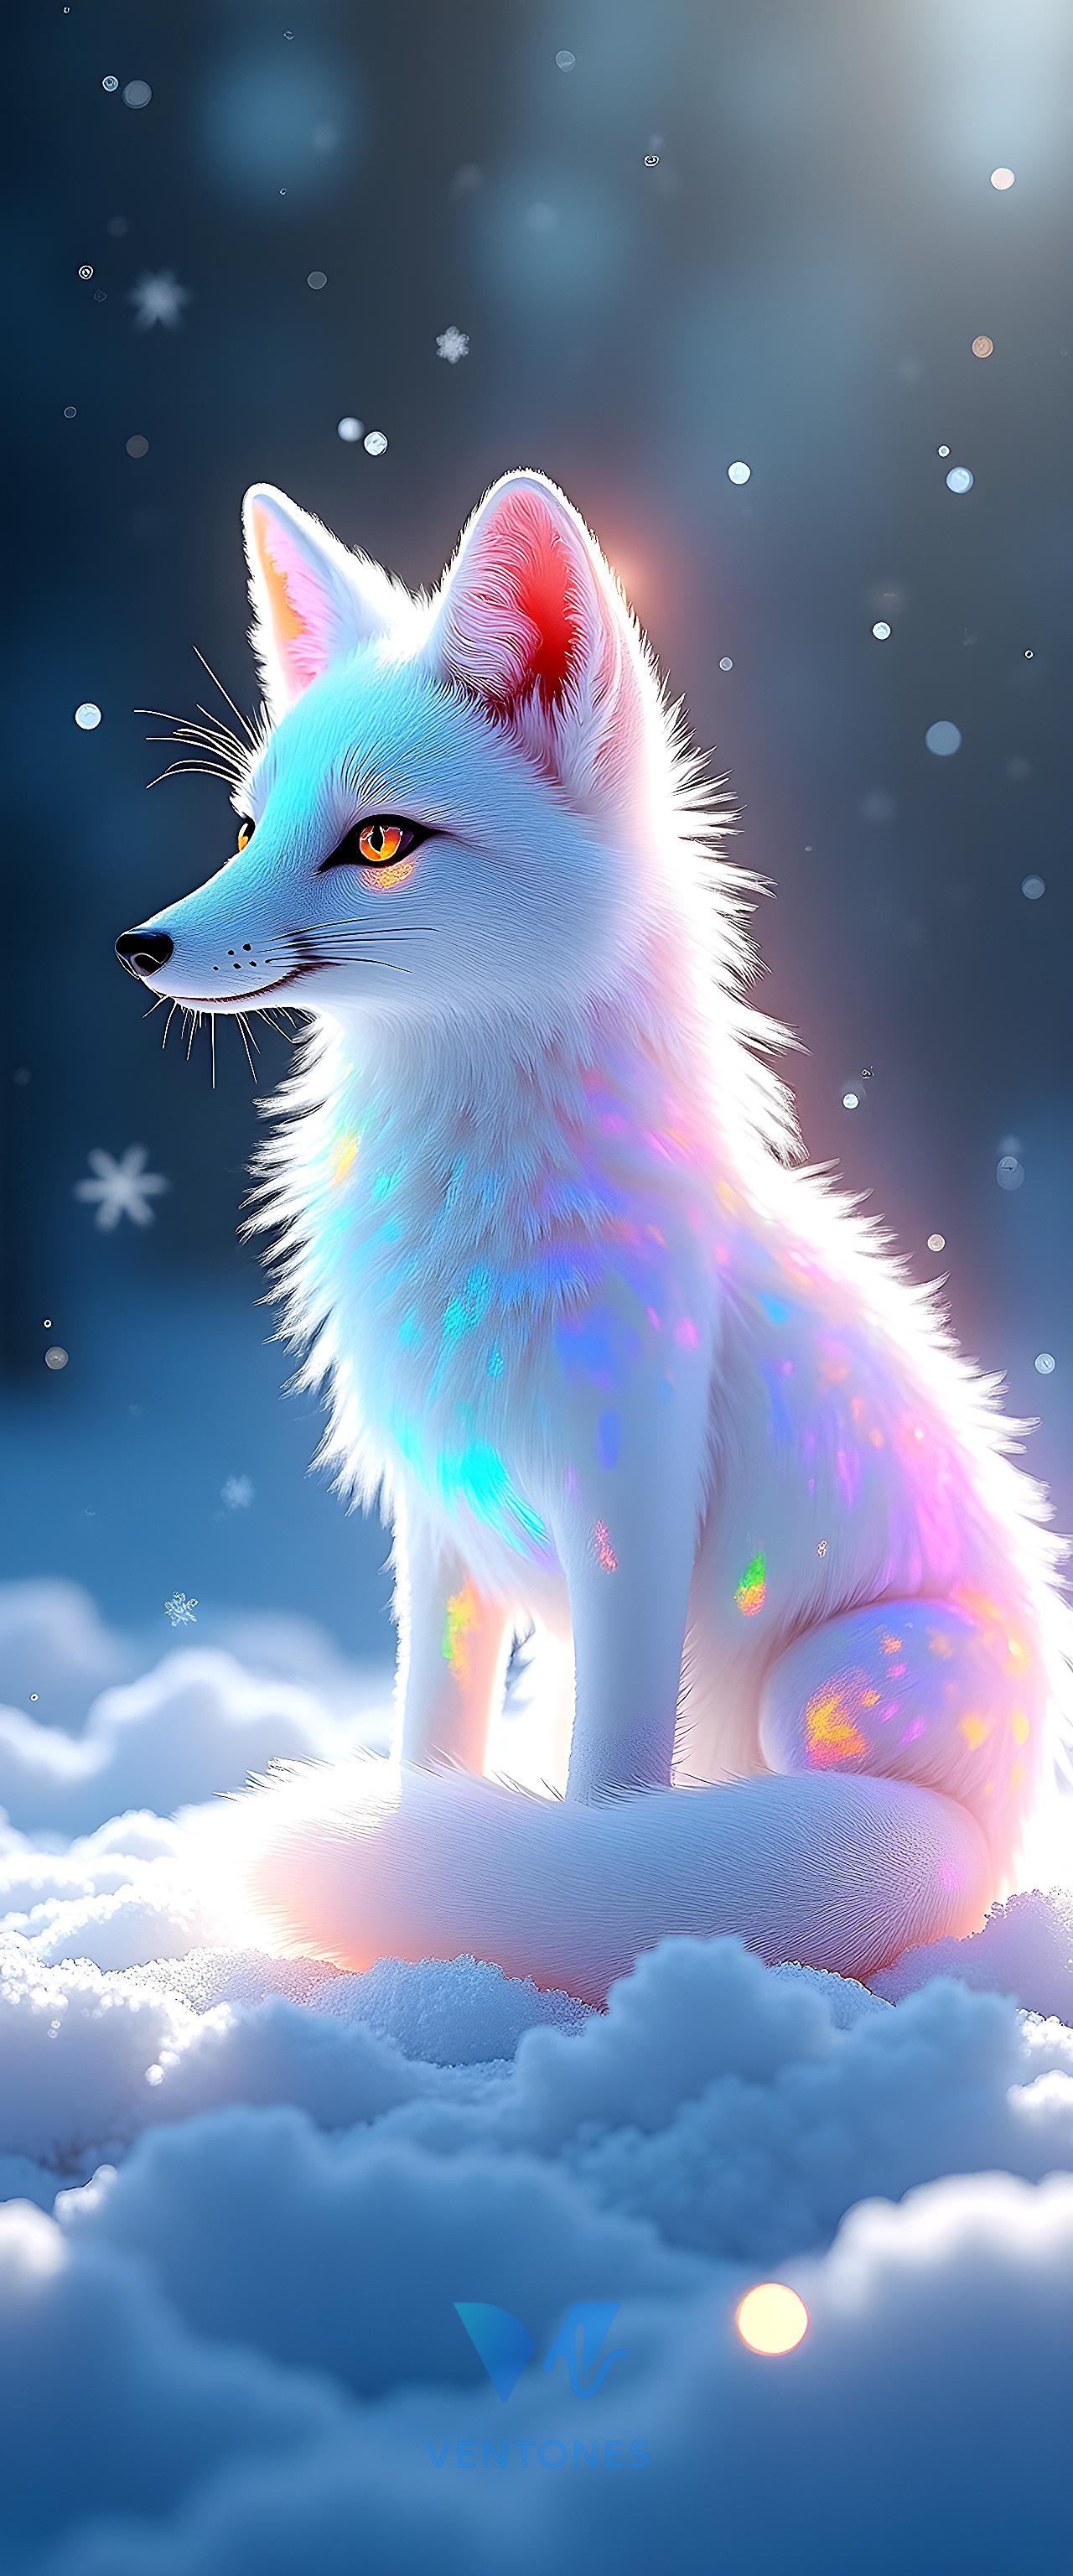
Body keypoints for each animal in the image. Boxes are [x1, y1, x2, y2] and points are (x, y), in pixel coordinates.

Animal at [117, 469, 1071, 2004]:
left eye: (378, 841)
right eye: (251, 828)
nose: (141, 944)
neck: (472, 1213)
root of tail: (996, 1826)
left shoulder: (635, 1500)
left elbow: (607, 1804)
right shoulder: (443, 1514)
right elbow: (429, 1754)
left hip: (831, 1679)